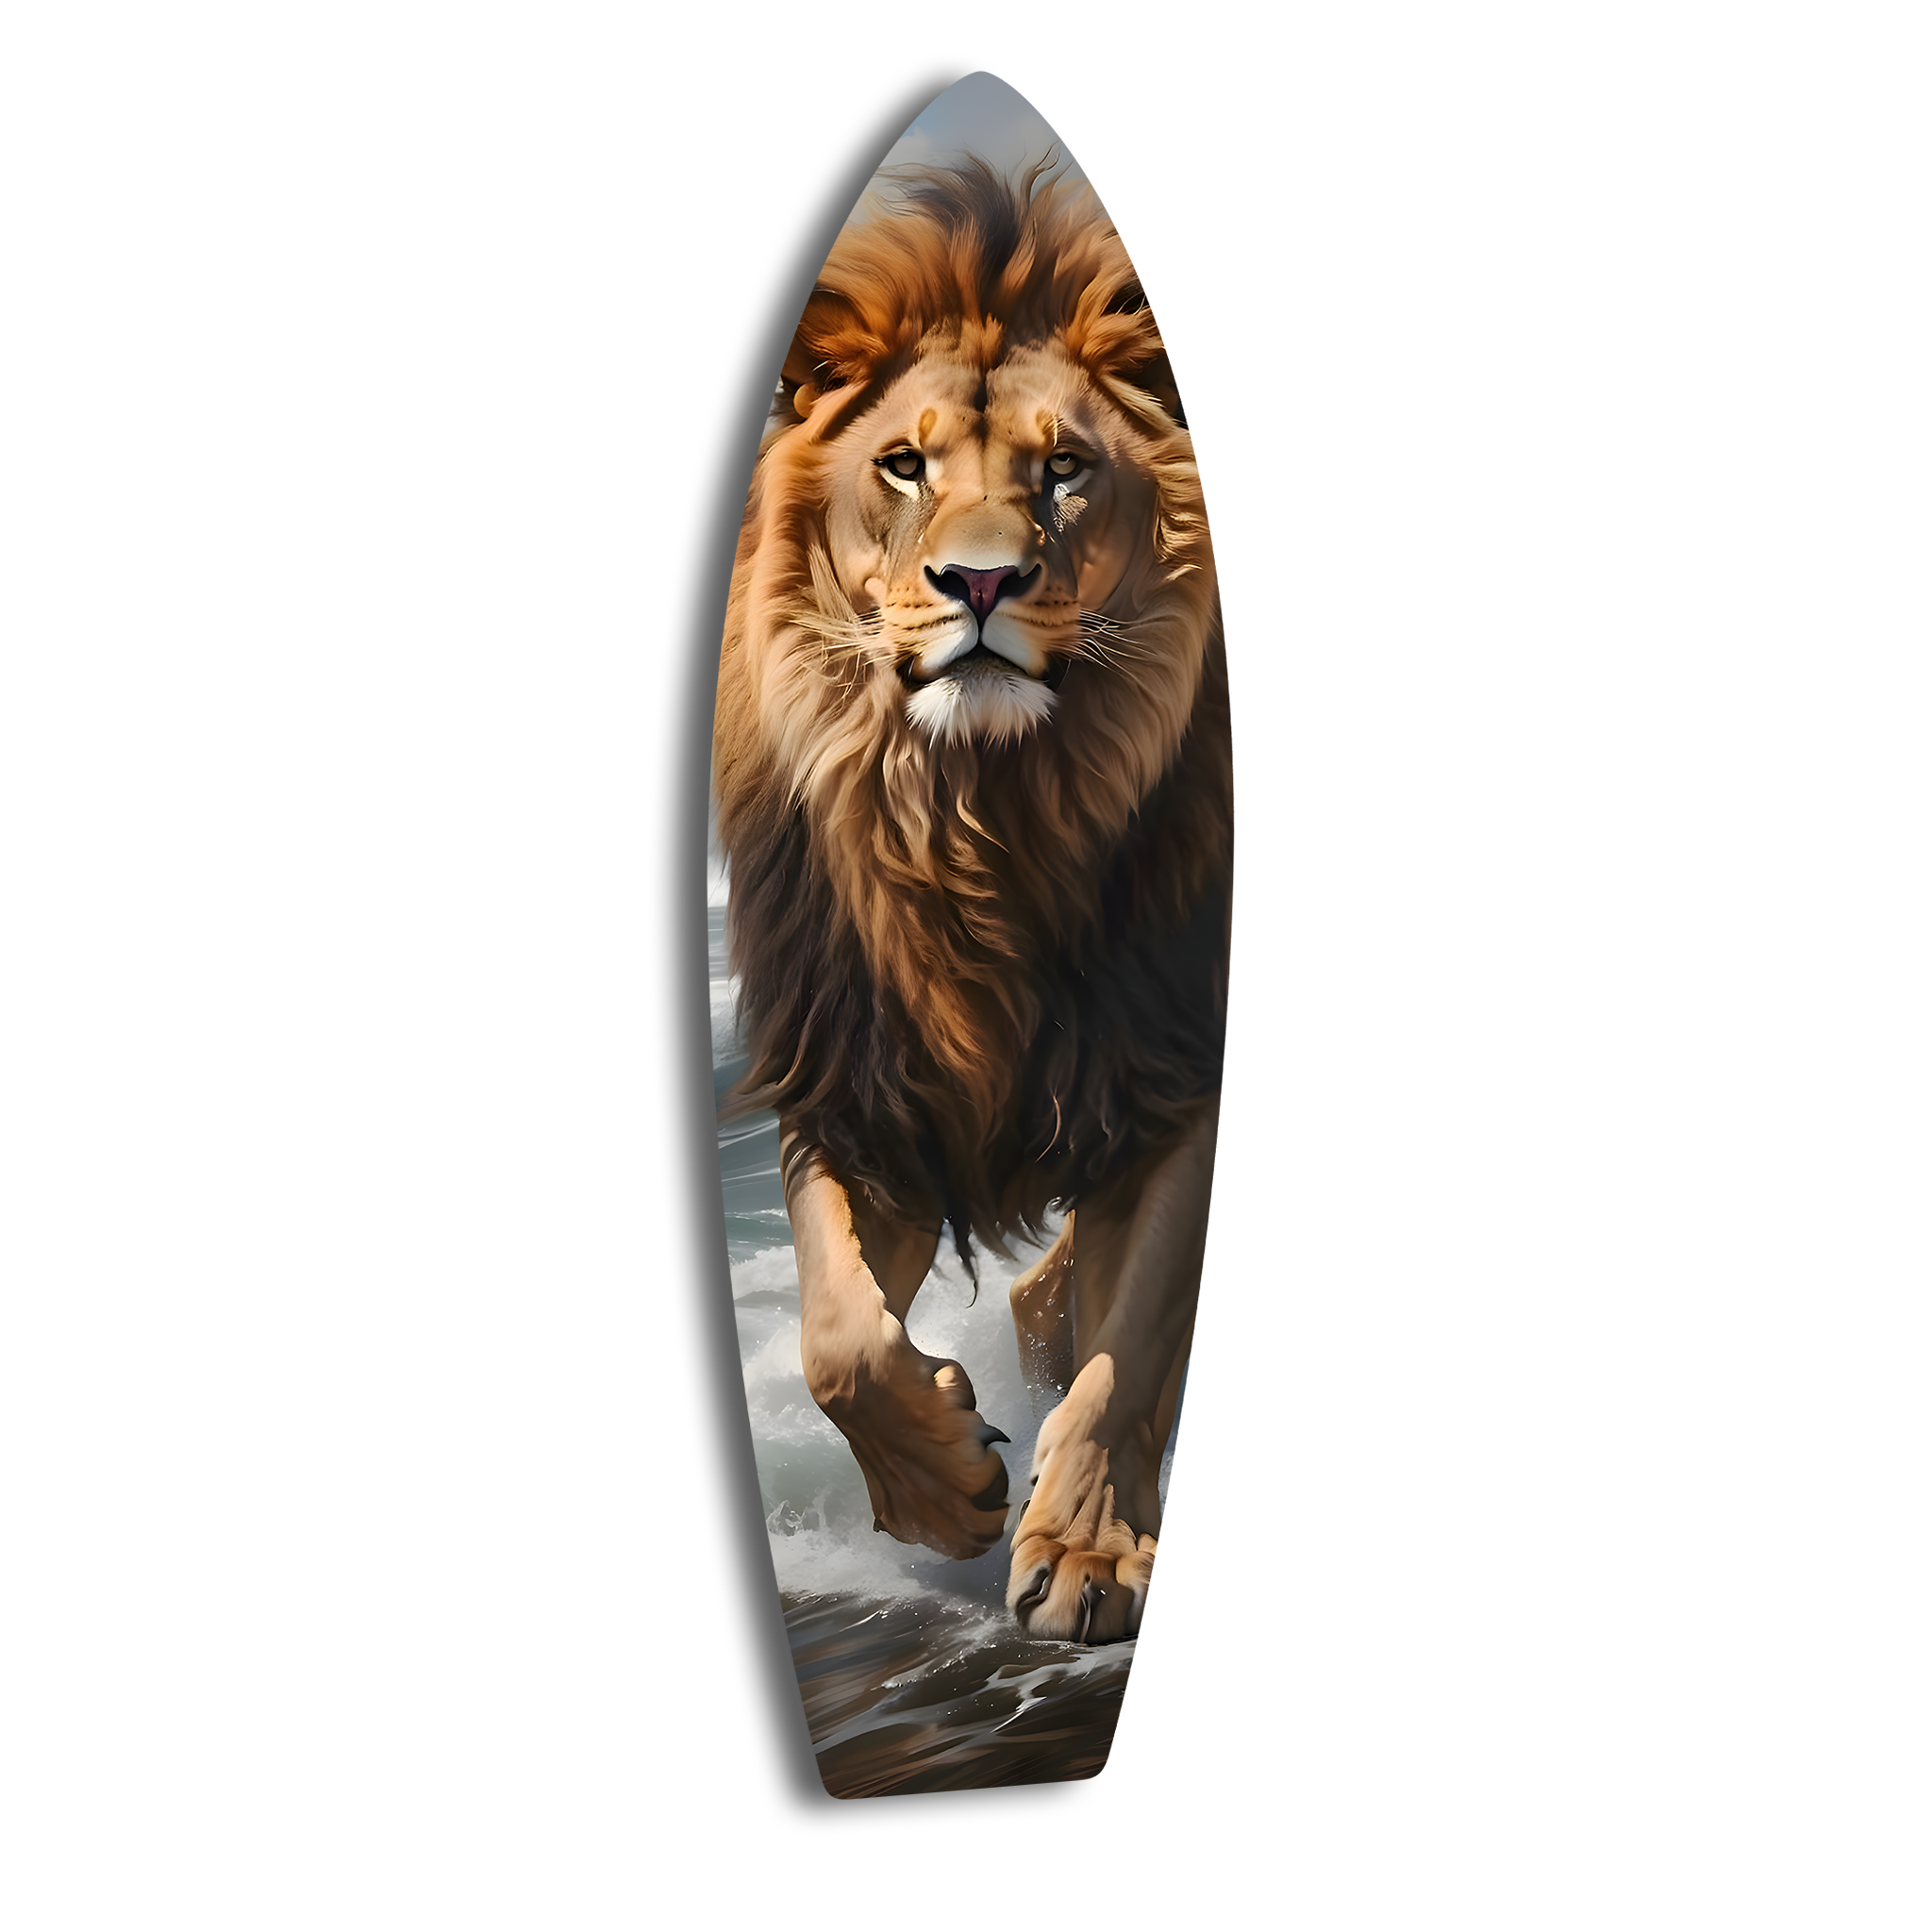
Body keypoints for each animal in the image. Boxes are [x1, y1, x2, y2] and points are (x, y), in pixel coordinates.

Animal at [712, 157, 1230, 1646]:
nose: (983, 580)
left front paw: (1087, 1548)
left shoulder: (1174, 1066)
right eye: (905, 464)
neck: (978, 825)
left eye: (1064, 469)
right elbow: (836, 1340)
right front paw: (943, 1488)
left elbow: (1136, 1337)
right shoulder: (855, 1084)